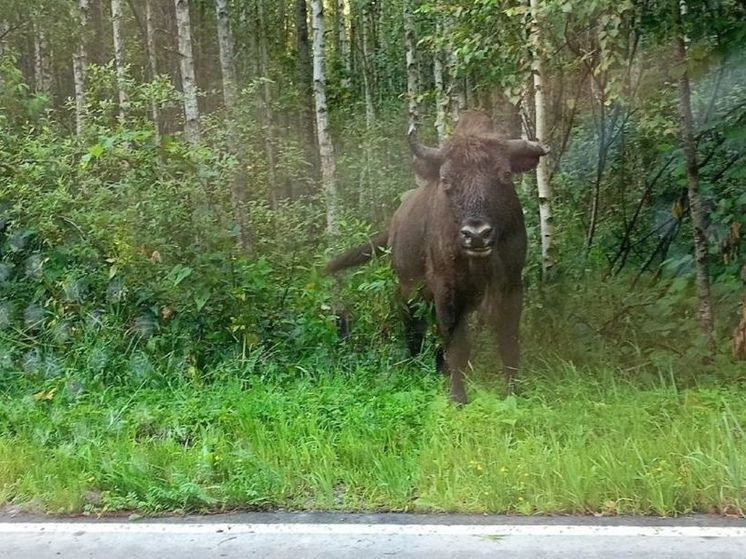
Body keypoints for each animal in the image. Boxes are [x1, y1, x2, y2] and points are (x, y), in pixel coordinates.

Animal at [326, 112, 548, 402]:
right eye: (446, 180)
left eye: (506, 174)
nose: (477, 235)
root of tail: (395, 223)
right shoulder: (446, 289)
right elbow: (457, 344)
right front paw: (458, 397)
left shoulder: (511, 285)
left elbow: (508, 342)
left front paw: (514, 393)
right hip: (407, 290)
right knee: (414, 328)